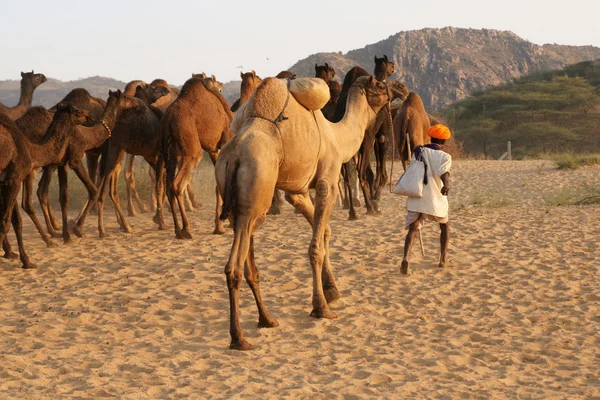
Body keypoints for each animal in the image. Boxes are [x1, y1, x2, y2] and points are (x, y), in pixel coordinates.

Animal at [156, 76, 233, 238]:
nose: (221, 85)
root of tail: (169, 119)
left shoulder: (213, 148)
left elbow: (218, 184)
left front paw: (219, 227)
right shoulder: (225, 139)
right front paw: (221, 226)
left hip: (170, 154)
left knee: (168, 186)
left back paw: (177, 231)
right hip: (192, 150)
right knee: (177, 185)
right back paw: (186, 229)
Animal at [214, 75, 390, 350]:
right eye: (380, 85)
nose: (396, 90)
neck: (336, 137)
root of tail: (234, 156)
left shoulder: (298, 191)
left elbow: (325, 232)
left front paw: (332, 291)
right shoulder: (327, 179)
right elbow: (315, 247)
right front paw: (322, 307)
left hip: (239, 202)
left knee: (248, 260)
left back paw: (267, 319)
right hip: (255, 192)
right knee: (234, 266)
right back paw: (239, 337)